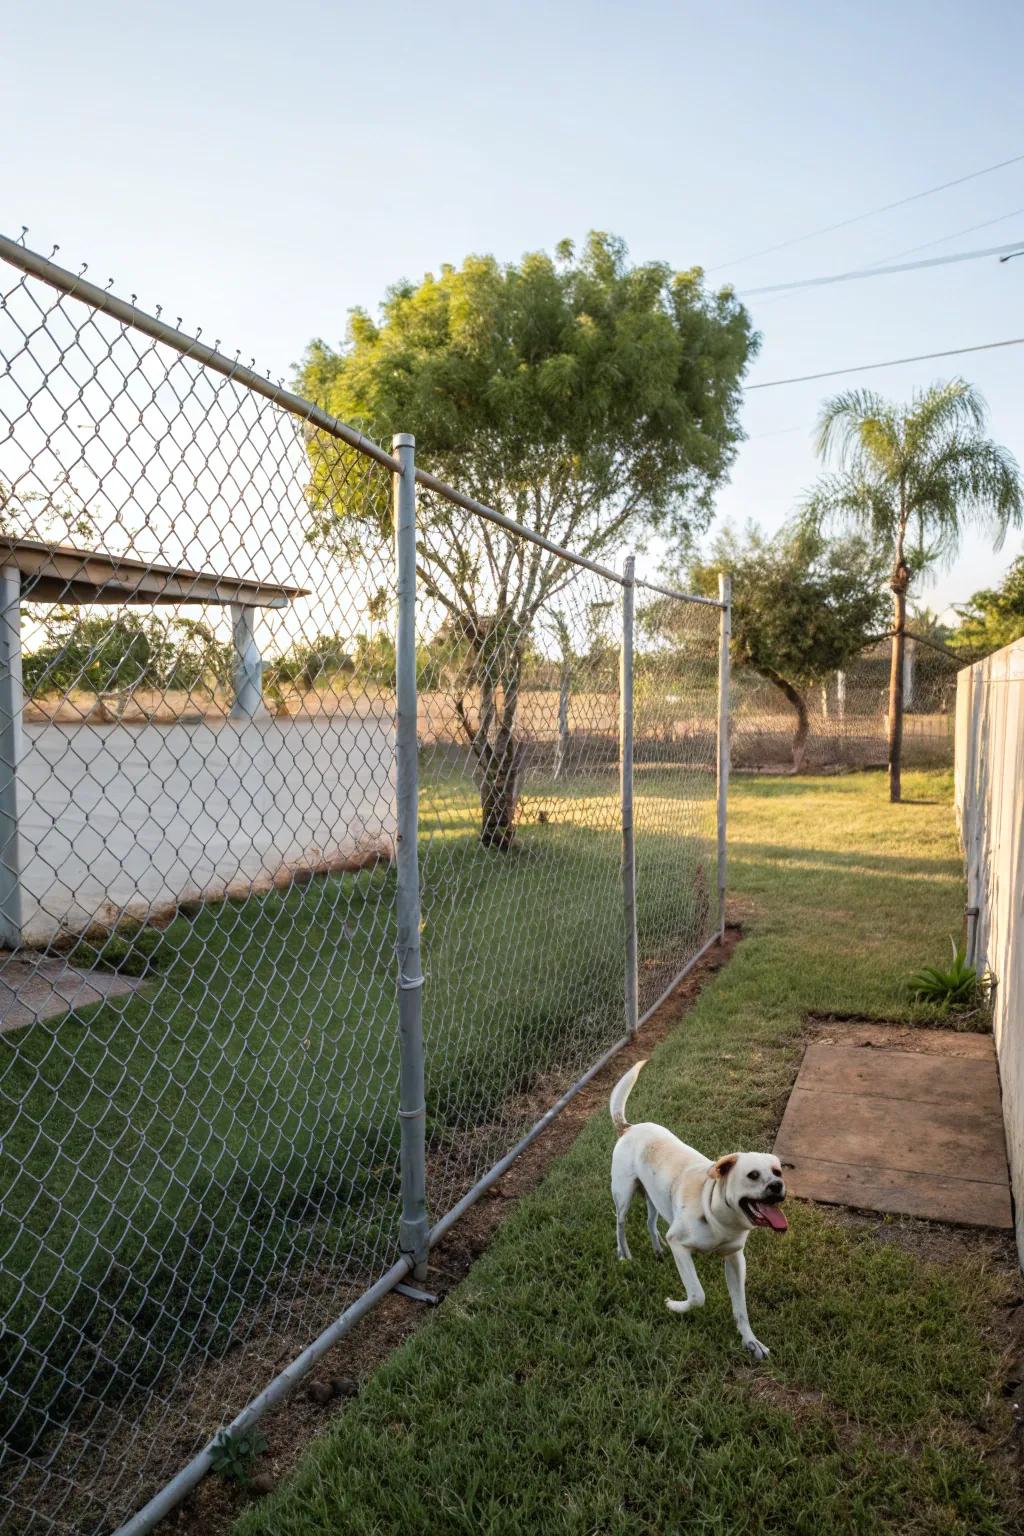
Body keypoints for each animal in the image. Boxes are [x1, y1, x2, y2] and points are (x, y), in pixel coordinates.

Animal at [614, 1056, 792, 1357]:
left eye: (777, 1172)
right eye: (753, 1175)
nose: (778, 1187)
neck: (718, 1214)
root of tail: (630, 1127)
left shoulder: (735, 1259)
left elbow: (741, 1309)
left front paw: (750, 1341)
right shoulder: (680, 1245)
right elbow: (698, 1295)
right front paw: (675, 1306)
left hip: (653, 1196)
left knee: (650, 1222)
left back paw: (657, 1249)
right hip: (623, 1194)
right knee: (620, 1224)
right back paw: (624, 1255)